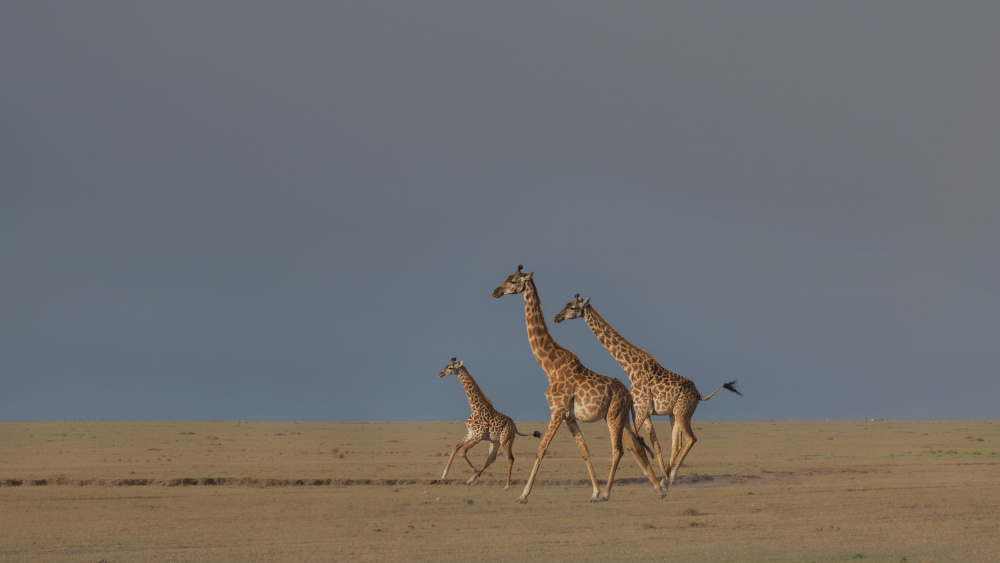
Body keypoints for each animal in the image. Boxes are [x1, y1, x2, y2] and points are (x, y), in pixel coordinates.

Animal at [438, 357, 541, 490]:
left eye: (450, 368)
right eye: (445, 366)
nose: (440, 374)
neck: (475, 407)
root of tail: (515, 427)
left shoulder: (478, 435)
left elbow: (463, 451)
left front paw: (475, 470)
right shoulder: (470, 433)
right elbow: (456, 447)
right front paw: (443, 476)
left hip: (506, 440)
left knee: (510, 459)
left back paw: (506, 486)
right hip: (495, 441)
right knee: (491, 458)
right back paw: (470, 480)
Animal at [492, 265, 665, 503]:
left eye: (513, 280)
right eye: (507, 277)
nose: (495, 292)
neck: (550, 367)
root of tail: (628, 395)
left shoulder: (556, 411)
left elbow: (541, 450)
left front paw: (523, 495)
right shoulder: (569, 417)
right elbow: (585, 451)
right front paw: (594, 491)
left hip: (613, 415)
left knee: (619, 449)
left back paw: (609, 493)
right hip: (621, 417)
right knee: (636, 445)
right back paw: (658, 489)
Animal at [554, 294, 742, 487]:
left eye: (573, 307)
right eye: (566, 304)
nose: (557, 317)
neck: (630, 368)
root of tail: (699, 395)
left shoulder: (642, 408)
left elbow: (633, 442)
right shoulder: (645, 411)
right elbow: (655, 444)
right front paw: (657, 477)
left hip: (682, 413)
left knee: (691, 439)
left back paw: (671, 476)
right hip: (674, 413)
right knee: (677, 444)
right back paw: (665, 478)